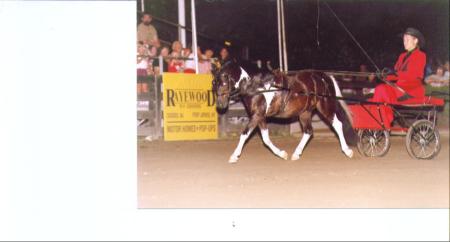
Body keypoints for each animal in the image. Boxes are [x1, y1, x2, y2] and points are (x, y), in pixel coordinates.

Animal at [213, 59, 356, 164]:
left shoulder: (257, 115)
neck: (257, 87)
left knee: (337, 124)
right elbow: (266, 139)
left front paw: (234, 156)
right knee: (308, 131)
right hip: (305, 112)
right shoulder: (261, 117)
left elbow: (244, 134)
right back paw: (296, 154)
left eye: (224, 83)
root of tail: (324, 76)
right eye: (214, 82)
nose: (220, 105)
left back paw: (347, 151)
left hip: (324, 106)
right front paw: (282, 154)